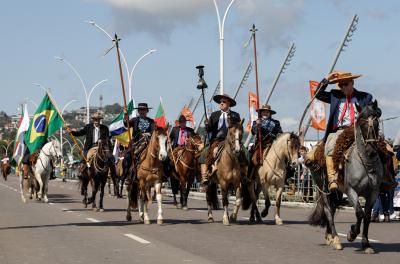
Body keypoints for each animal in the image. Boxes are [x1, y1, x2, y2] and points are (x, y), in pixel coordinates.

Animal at [308, 100, 382, 254]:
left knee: (333, 209)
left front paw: (366, 244)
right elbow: (359, 213)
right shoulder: (351, 191)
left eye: (376, 121)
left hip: (336, 192)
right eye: (362, 122)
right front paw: (352, 234)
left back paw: (329, 237)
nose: (371, 151)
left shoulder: (373, 193)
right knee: (328, 211)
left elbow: (367, 217)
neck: (365, 163)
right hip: (322, 188)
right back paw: (336, 240)